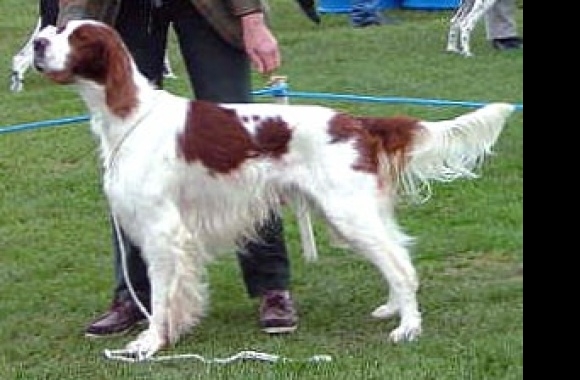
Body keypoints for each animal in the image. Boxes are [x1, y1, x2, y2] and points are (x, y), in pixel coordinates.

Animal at [32, 20, 512, 360]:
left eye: (78, 37)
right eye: (57, 29)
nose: (36, 43)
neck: (129, 114)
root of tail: (357, 122)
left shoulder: (161, 229)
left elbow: (161, 294)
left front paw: (151, 343)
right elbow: (178, 293)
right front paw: (173, 332)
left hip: (349, 212)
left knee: (400, 266)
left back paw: (408, 327)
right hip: (356, 213)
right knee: (398, 255)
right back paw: (393, 308)